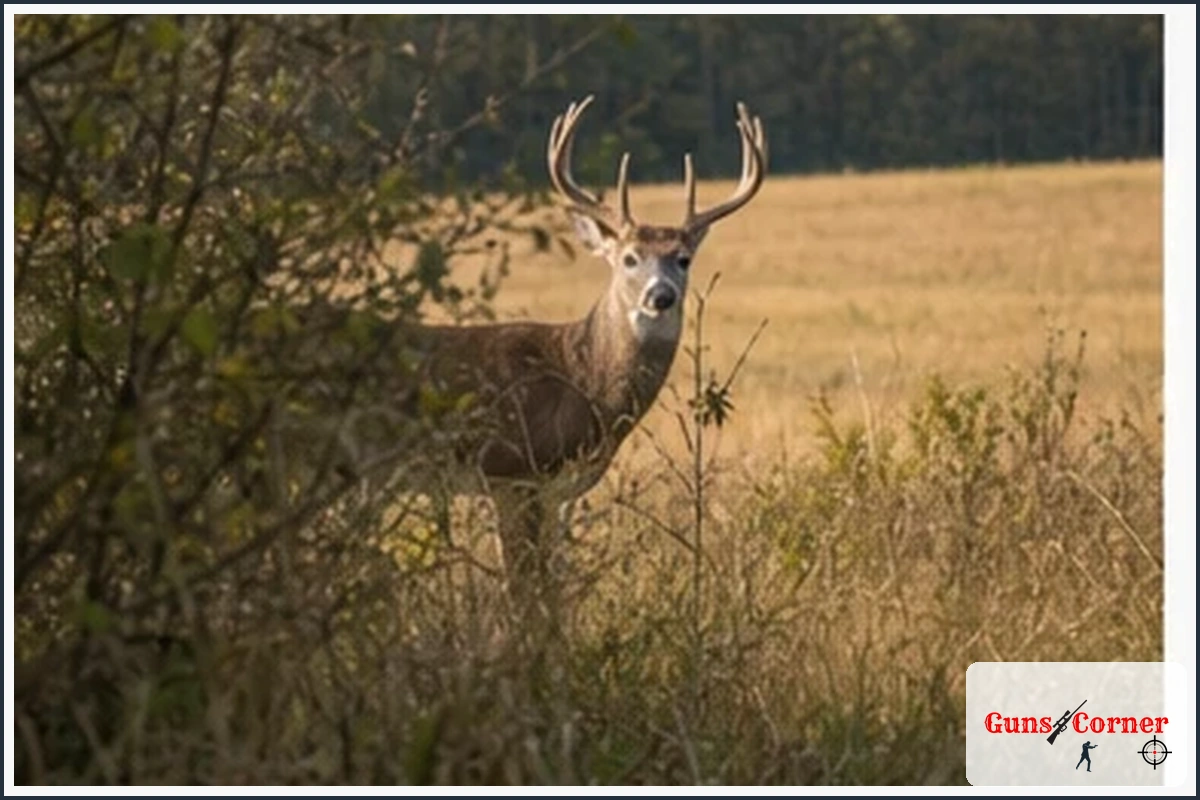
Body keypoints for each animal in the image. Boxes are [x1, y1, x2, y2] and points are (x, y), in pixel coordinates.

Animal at [334, 95, 767, 615]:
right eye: (629, 258)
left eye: (683, 259)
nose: (660, 296)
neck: (580, 375)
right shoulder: (512, 472)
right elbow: (522, 591)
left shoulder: (559, 491)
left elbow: (553, 591)